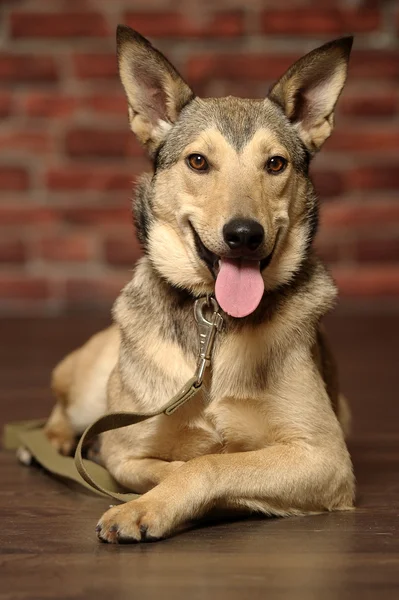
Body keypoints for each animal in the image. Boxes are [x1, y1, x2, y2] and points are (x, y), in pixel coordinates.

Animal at [43, 27, 356, 544]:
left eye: (275, 164)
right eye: (197, 161)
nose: (244, 234)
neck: (216, 323)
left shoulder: (324, 456)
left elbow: (210, 464)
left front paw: (158, 504)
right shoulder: (124, 451)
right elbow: (175, 461)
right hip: (90, 387)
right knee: (63, 402)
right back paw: (56, 438)